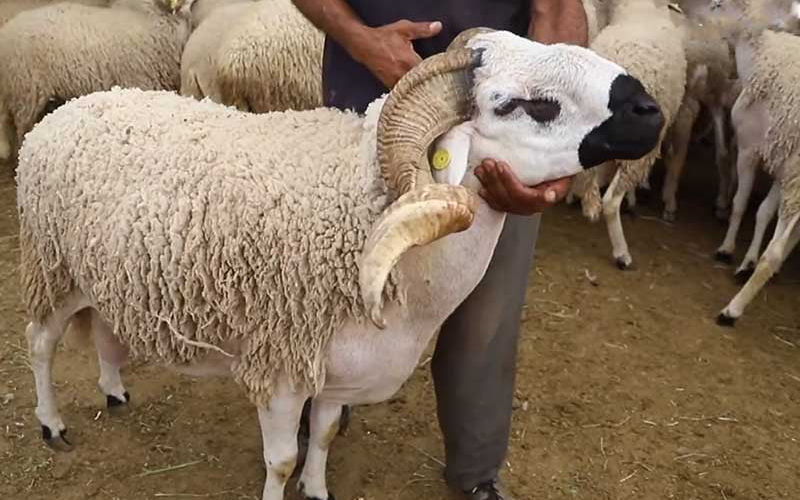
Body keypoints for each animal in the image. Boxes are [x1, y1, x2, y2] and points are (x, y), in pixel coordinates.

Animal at [16, 28, 664, 500]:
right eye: (525, 106)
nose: (650, 110)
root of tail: (68, 109)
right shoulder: (281, 364)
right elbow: (281, 461)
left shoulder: (339, 370)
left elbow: (324, 435)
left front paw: (319, 490)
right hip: (52, 267)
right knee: (40, 343)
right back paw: (52, 424)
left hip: (103, 275)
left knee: (105, 329)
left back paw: (114, 389)